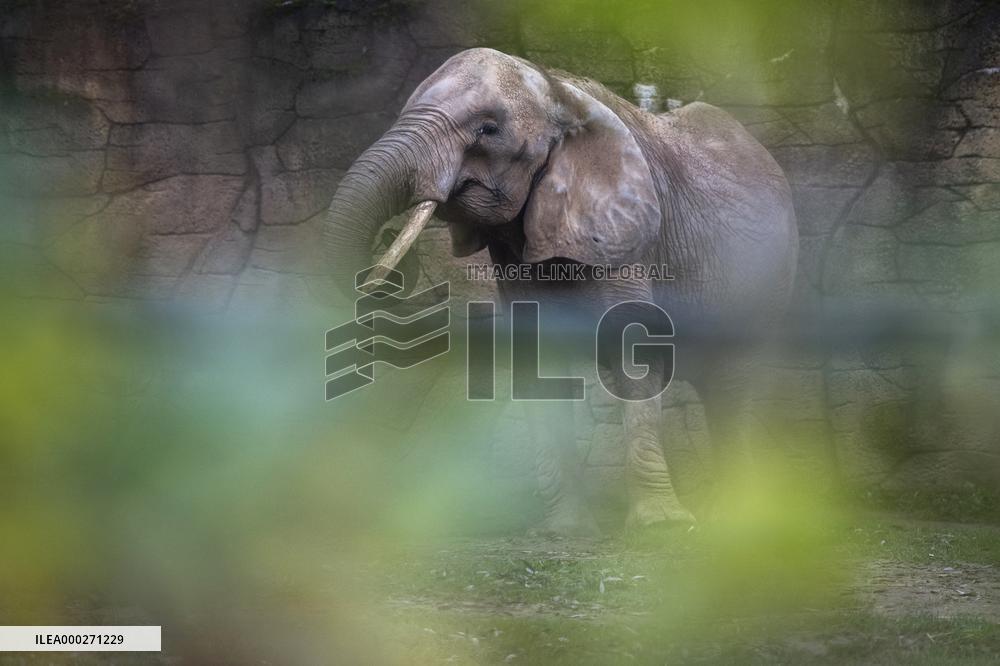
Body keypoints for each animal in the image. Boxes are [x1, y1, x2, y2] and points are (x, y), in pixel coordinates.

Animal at [326, 48, 798, 535]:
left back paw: (731, 523)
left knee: (733, 388)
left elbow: (635, 353)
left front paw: (658, 526)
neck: (557, 91)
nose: (392, 243)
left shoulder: (625, 234)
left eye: (488, 129)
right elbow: (537, 361)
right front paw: (566, 530)